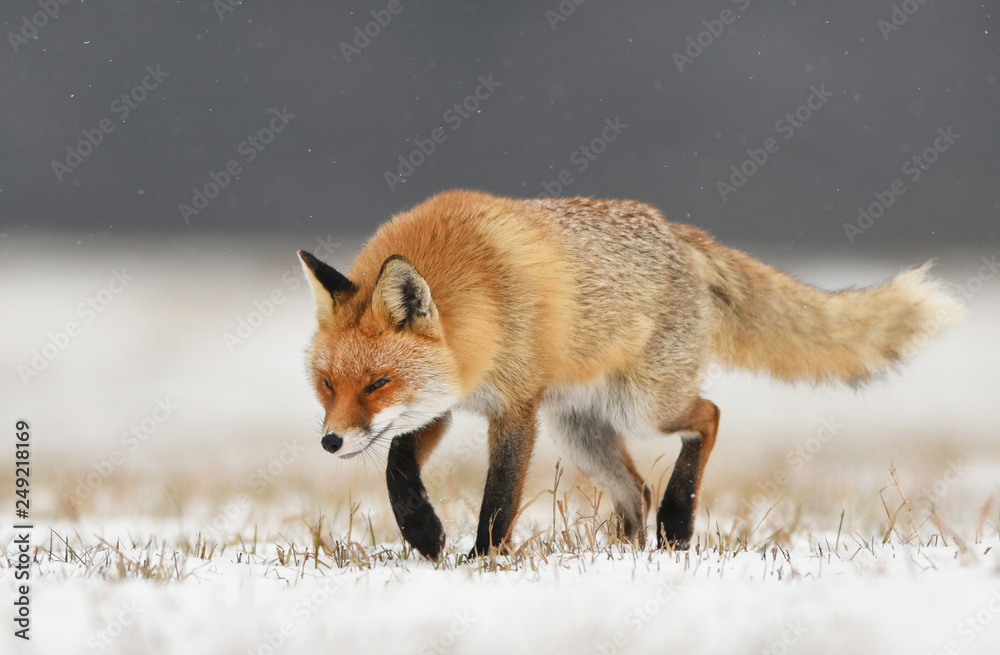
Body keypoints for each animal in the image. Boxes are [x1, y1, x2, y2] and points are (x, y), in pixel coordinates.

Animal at [298, 189, 964, 559]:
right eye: (328, 384)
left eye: (377, 383)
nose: (329, 440)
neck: (477, 294)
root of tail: (682, 233)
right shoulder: (442, 399)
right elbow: (396, 467)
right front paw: (423, 532)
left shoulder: (515, 405)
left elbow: (499, 495)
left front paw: (479, 559)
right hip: (581, 430)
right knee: (635, 490)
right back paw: (624, 554)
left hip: (644, 406)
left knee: (709, 417)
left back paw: (676, 524)